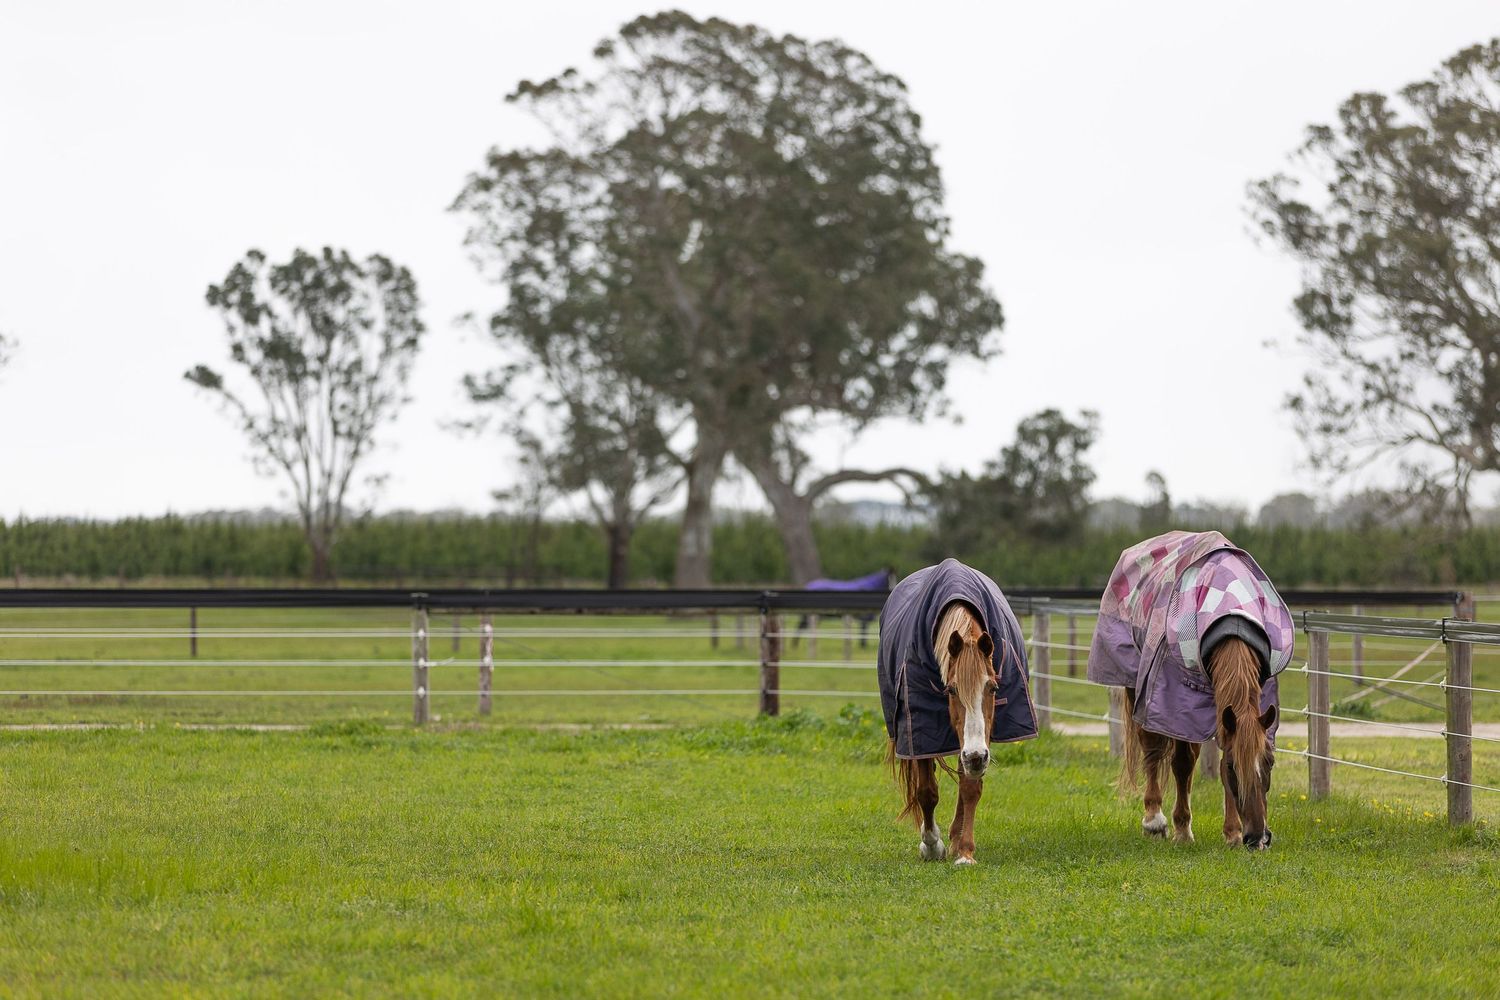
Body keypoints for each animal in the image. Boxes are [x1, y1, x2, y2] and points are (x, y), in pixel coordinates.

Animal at [876, 559, 1037, 864]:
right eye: (951, 690)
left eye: (993, 688)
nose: (975, 757)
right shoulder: (920, 732)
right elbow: (927, 792)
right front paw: (931, 845)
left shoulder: (981, 737)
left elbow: (970, 788)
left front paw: (964, 850)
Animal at [1088, 530, 1294, 850]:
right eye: (1234, 767)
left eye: (1270, 762)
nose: (1258, 838)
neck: (1232, 614)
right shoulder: (1176, 704)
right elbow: (1182, 763)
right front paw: (1182, 830)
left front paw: (1232, 833)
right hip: (1138, 686)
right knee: (1152, 748)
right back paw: (1154, 820)